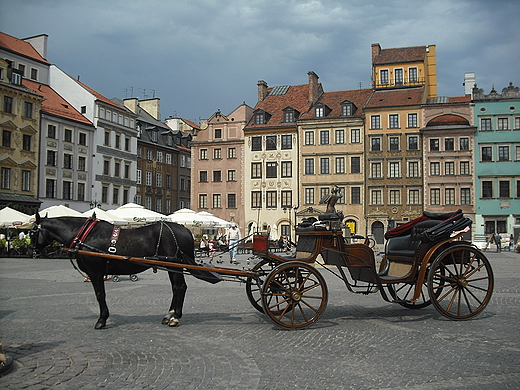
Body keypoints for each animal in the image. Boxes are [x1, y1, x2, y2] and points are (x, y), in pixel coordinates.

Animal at [31, 213, 220, 330]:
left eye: (32, 232)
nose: (34, 252)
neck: (85, 236)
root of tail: (185, 229)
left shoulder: (95, 271)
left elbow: (100, 295)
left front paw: (102, 320)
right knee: (177, 288)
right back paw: (170, 315)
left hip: (174, 265)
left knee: (179, 287)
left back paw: (175, 317)